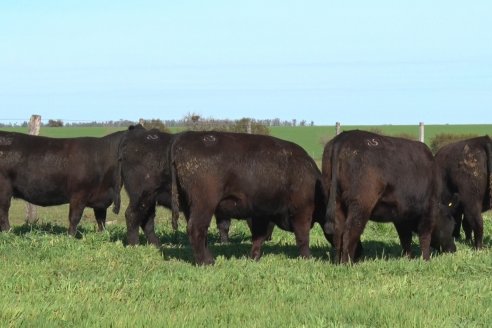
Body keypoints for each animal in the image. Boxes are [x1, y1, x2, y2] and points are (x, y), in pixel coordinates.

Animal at [171, 130, 328, 264]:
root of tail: (182, 140)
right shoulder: (302, 211)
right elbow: (302, 236)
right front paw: (308, 258)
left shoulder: (262, 214)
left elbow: (259, 237)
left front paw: (254, 257)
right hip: (204, 205)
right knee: (196, 228)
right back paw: (206, 262)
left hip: (188, 205)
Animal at [322, 131, 458, 264]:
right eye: (451, 225)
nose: (454, 249)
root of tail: (343, 137)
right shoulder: (429, 208)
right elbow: (425, 236)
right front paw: (426, 259)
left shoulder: (401, 216)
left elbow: (405, 238)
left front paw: (408, 258)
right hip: (360, 204)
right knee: (350, 232)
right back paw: (347, 263)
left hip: (336, 202)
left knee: (338, 233)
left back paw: (337, 262)